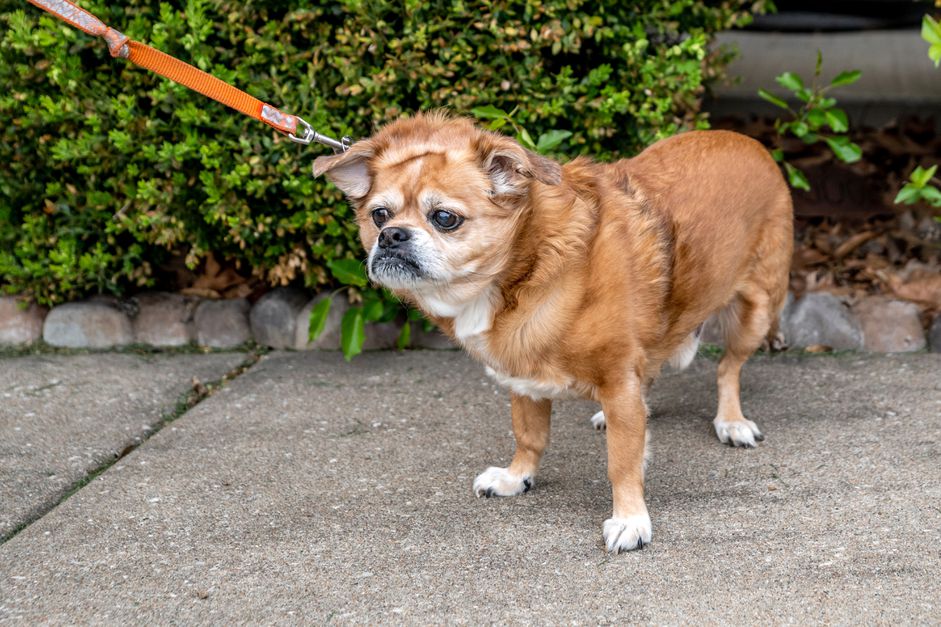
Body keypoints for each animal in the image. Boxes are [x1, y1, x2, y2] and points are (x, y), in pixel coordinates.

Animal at [316, 114, 792, 556]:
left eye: (445, 218)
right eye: (379, 214)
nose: (391, 235)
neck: (526, 268)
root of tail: (749, 142)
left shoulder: (618, 377)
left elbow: (622, 463)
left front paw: (630, 519)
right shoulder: (523, 378)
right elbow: (529, 437)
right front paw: (516, 477)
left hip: (756, 312)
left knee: (728, 369)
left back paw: (730, 421)